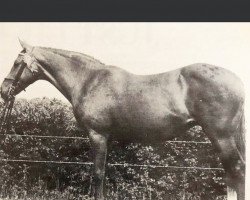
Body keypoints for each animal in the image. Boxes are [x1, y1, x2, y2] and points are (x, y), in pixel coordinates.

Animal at [0, 39, 245, 200]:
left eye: (16, 63)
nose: (4, 91)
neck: (89, 80)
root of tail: (237, 80)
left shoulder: (97, 135)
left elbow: (98, 174)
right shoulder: (107, 137)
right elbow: (105, 172)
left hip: (221, 137)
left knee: (237, 171)